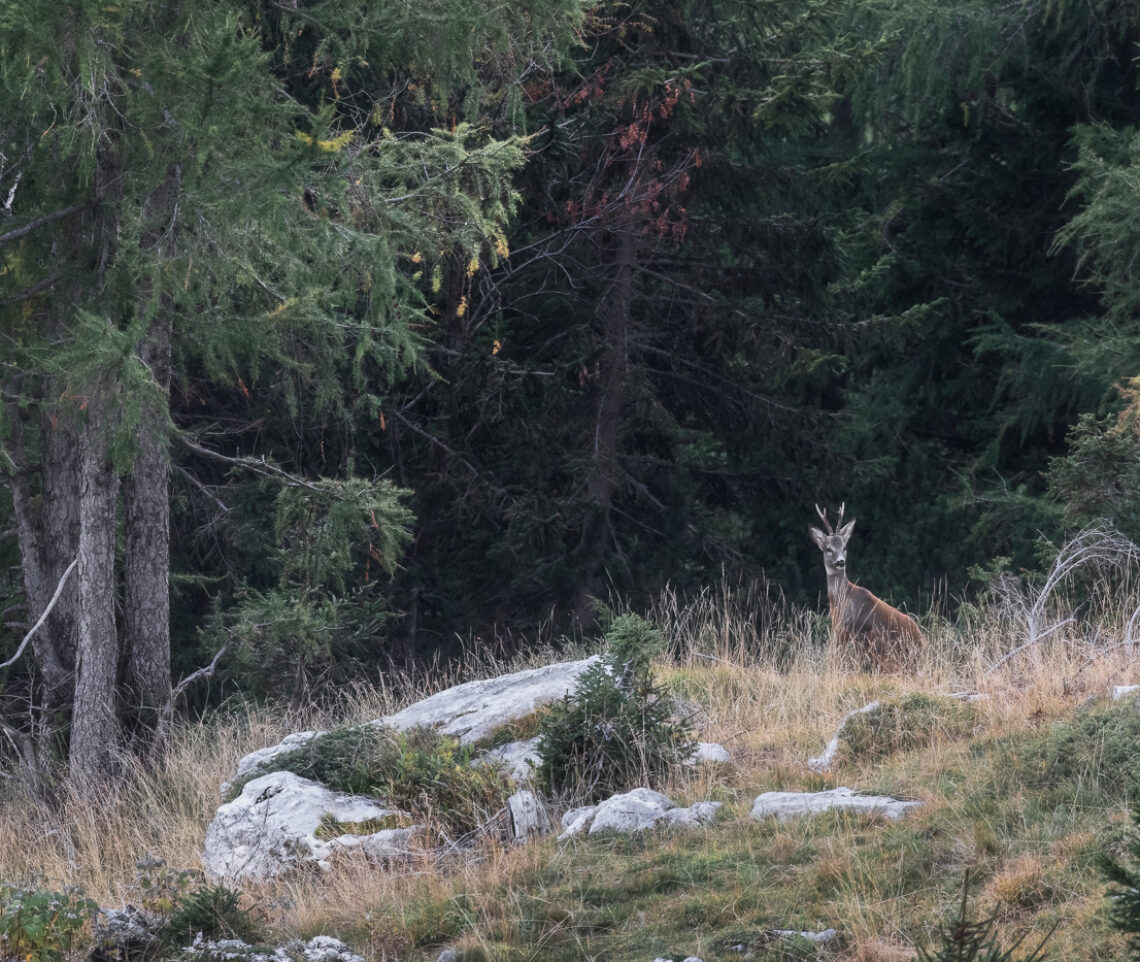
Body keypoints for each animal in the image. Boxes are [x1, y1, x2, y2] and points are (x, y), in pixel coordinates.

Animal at [811, 503, 925, 670]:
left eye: (844, 547)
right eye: (828, 549)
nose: (840, 561)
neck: (841, 599)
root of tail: (923, 642)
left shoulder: (856, 629)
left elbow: (854, 662)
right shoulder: (839, 628)